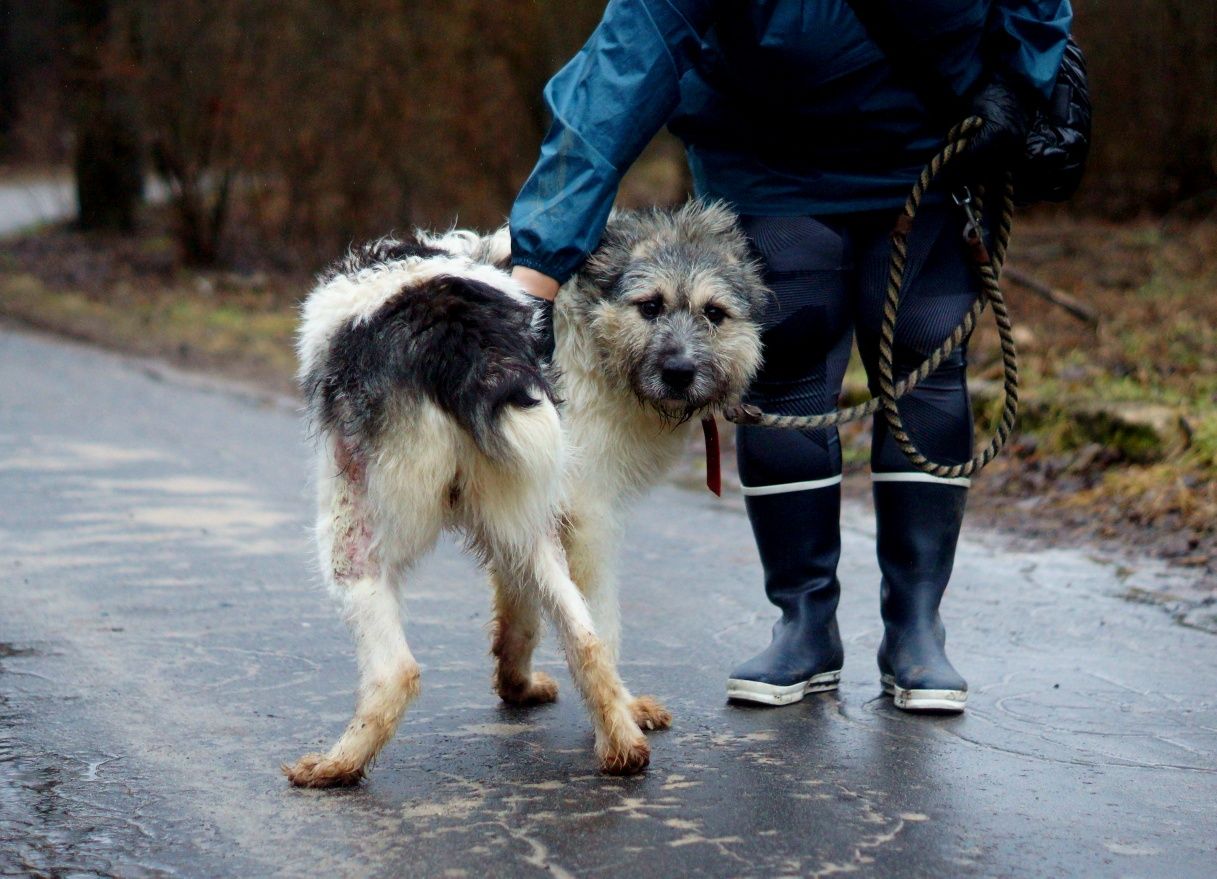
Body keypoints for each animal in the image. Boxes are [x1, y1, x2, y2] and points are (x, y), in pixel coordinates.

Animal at [281, 202, 764, 784]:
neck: (592, 330)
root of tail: (460, 335)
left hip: (348, 538)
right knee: (586, 638)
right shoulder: (564, 515)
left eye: (715, 314)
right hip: (527, 521)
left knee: (398, 671)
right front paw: (521, 686)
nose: (680, 372)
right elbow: (530, 615)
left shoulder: (577, 516)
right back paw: (622, 744)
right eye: (651, 306)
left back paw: (337, 766)